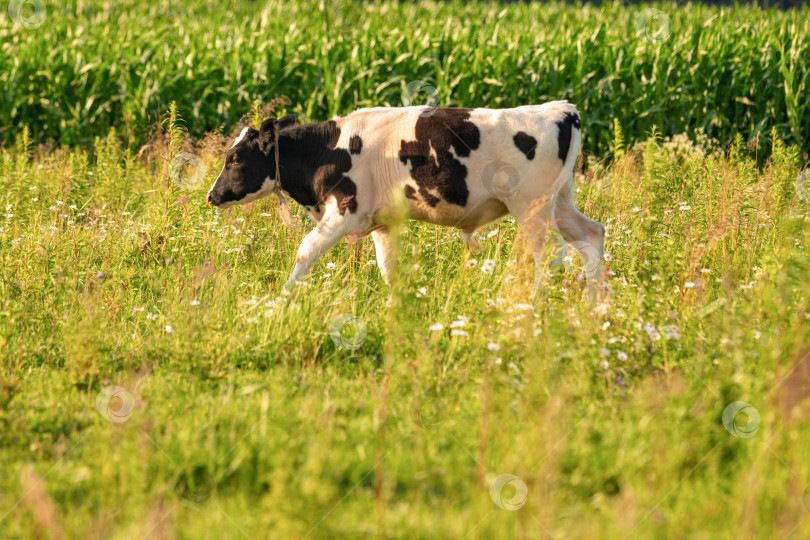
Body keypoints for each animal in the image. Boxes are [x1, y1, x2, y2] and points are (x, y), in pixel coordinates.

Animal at [205, 101, 604, 296]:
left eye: (235, 158)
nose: (211, 195)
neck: (328, 150)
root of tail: (561, 108)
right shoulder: (384, 223)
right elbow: (389, 268)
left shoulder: (346, 209)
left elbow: (306, 250)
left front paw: (282, 300)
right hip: (560, 202)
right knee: (591, 236)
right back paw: (596, 306)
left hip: (532, 208)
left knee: (551, 254)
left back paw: (533, 307)